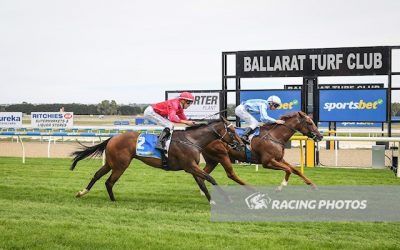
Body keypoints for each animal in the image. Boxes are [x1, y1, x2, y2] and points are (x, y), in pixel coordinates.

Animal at [70, 117, 242, 203]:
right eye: (232, 131)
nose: (241, 144)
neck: (192, 140)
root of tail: (113, 137)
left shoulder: (193, 167)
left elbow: (202, 182)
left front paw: (211, 200)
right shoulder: (190, 166)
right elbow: (211, 179)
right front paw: (226, 198)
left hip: (111, 163)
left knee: (97, 175)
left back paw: (82, 192)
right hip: (121, 165)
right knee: (109, 182)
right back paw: (113, 200)